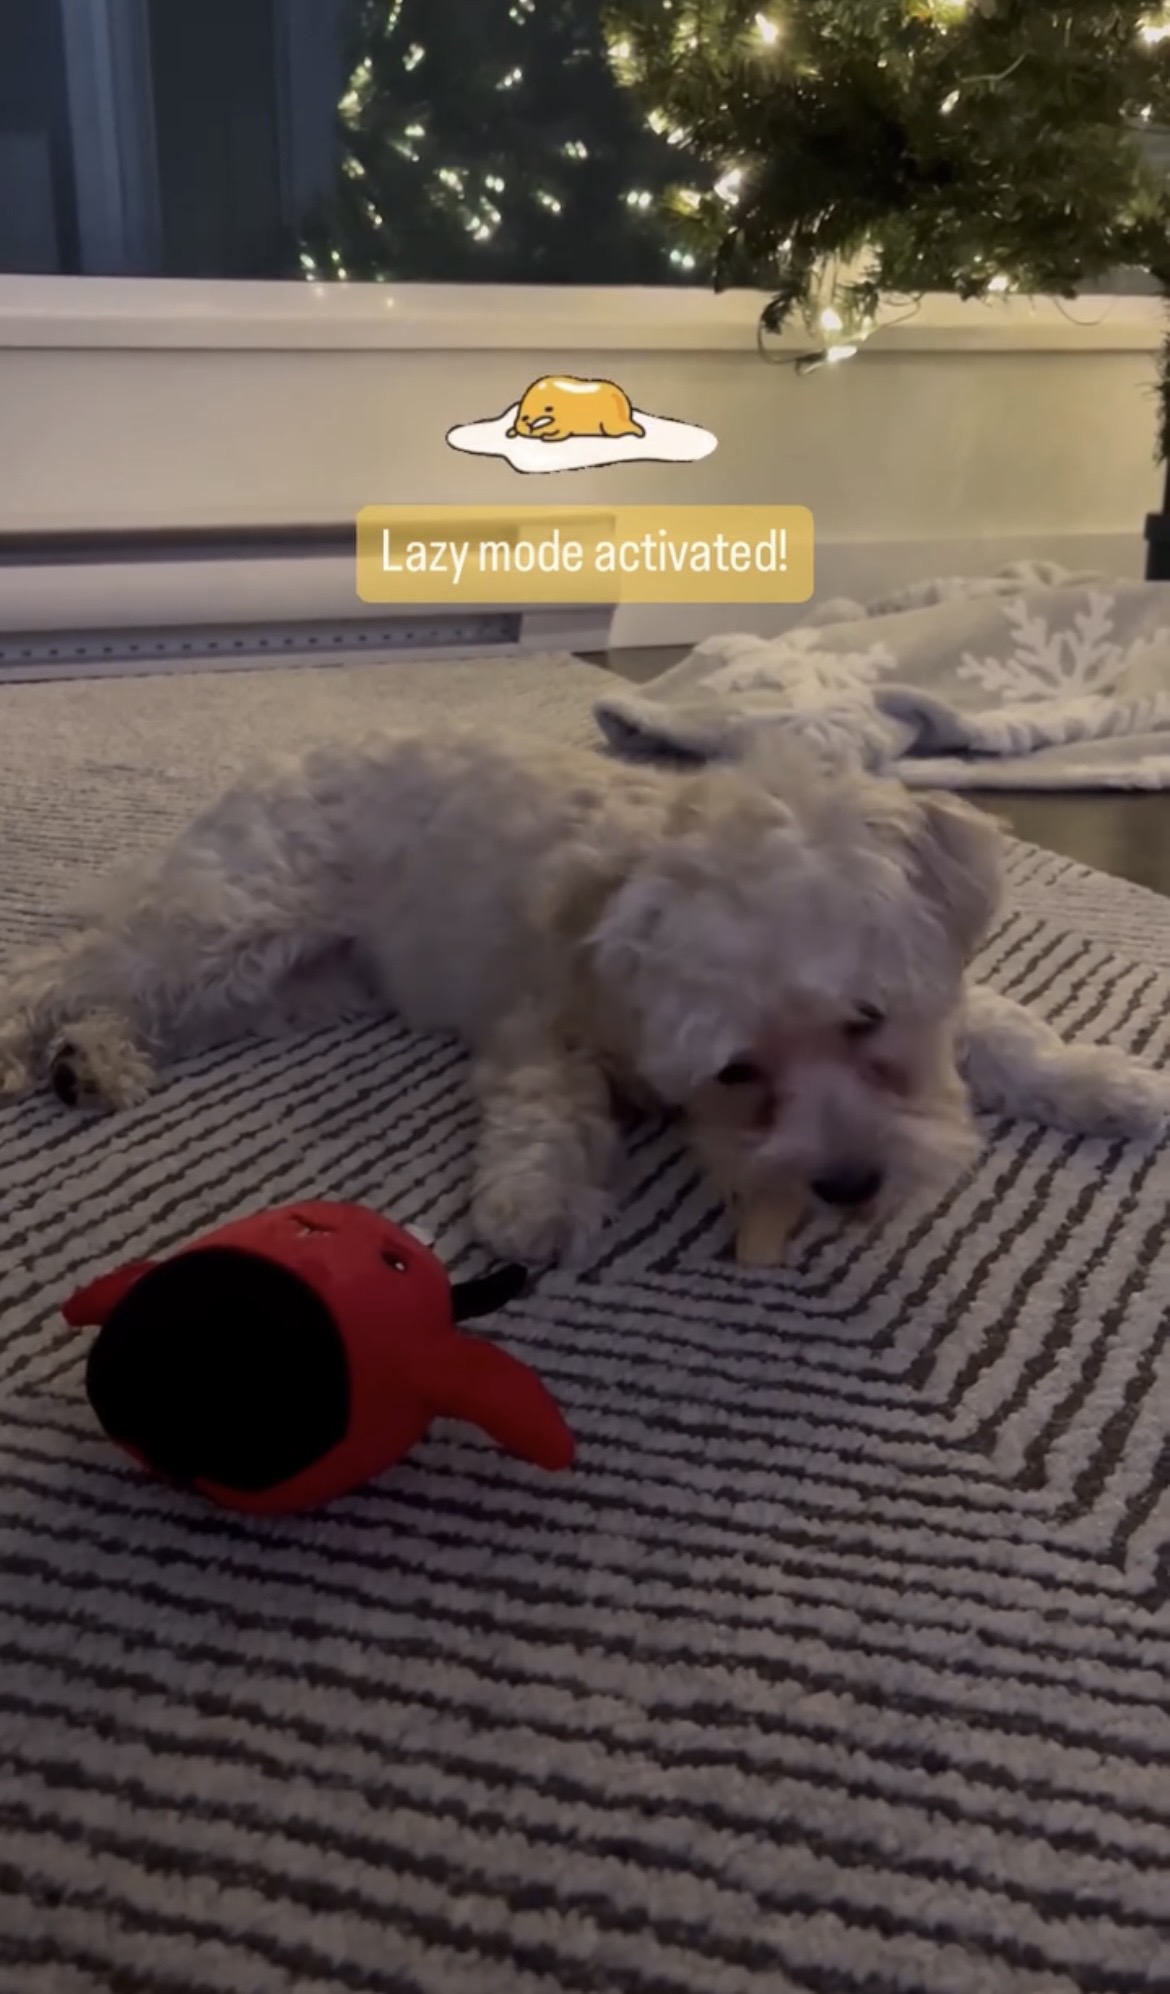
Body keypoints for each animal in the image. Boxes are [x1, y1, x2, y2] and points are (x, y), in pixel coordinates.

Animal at [0, 727, 1165, 1267]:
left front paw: (1112, 1082)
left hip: (290, 984)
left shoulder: (946, 984)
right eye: (736, 1069)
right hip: (237, 922)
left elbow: (1014, 1032)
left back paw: (94, 1058)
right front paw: (538, 1199)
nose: (846, 1185)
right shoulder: (537, 1020)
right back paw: (38, 1038)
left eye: (868, 1020)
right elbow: (547, 1110)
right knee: (71, 966)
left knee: (155, 1002)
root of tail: (266, 766)